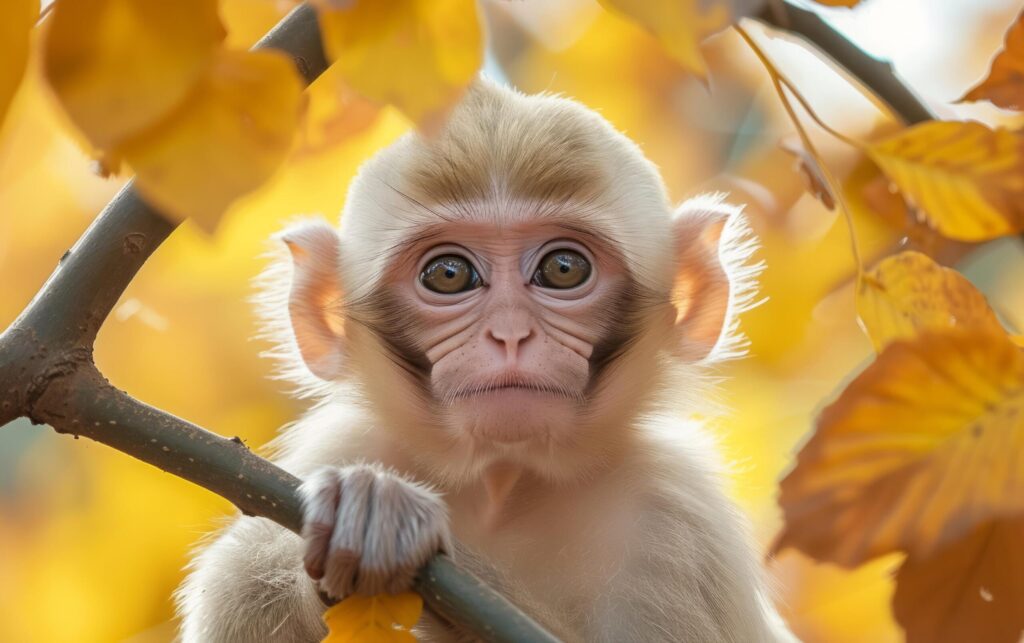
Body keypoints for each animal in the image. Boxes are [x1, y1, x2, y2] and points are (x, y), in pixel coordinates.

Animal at [174, 77, 790, 638]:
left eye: (564, 268)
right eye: (449, 274)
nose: (510, 334)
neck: (504, 483)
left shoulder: (679, 522)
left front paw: (381, 520)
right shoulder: (342, 447)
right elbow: (241, 583)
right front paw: (363, 512)